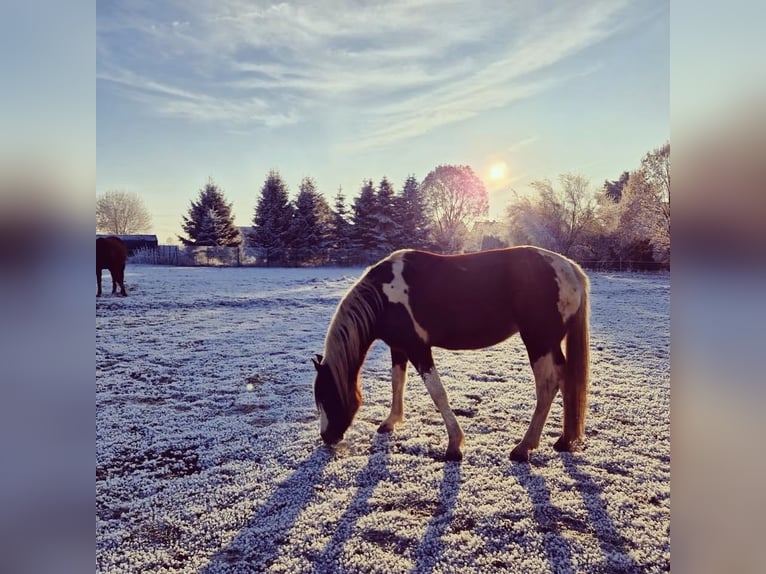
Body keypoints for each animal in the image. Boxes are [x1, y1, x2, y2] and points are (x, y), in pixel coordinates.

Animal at [312, 248, 592, 464]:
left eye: (326, 397)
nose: (327, 437)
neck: (383, 297)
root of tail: (570, 268)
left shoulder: (418, 349)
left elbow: (438, 393)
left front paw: (454, 446)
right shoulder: (399, 348)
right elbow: (397, 383)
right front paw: (391, 422)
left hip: (538, 342)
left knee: (547, 386)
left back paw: (524, 448)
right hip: (550, 344)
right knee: (566, 380)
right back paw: (564, 440)